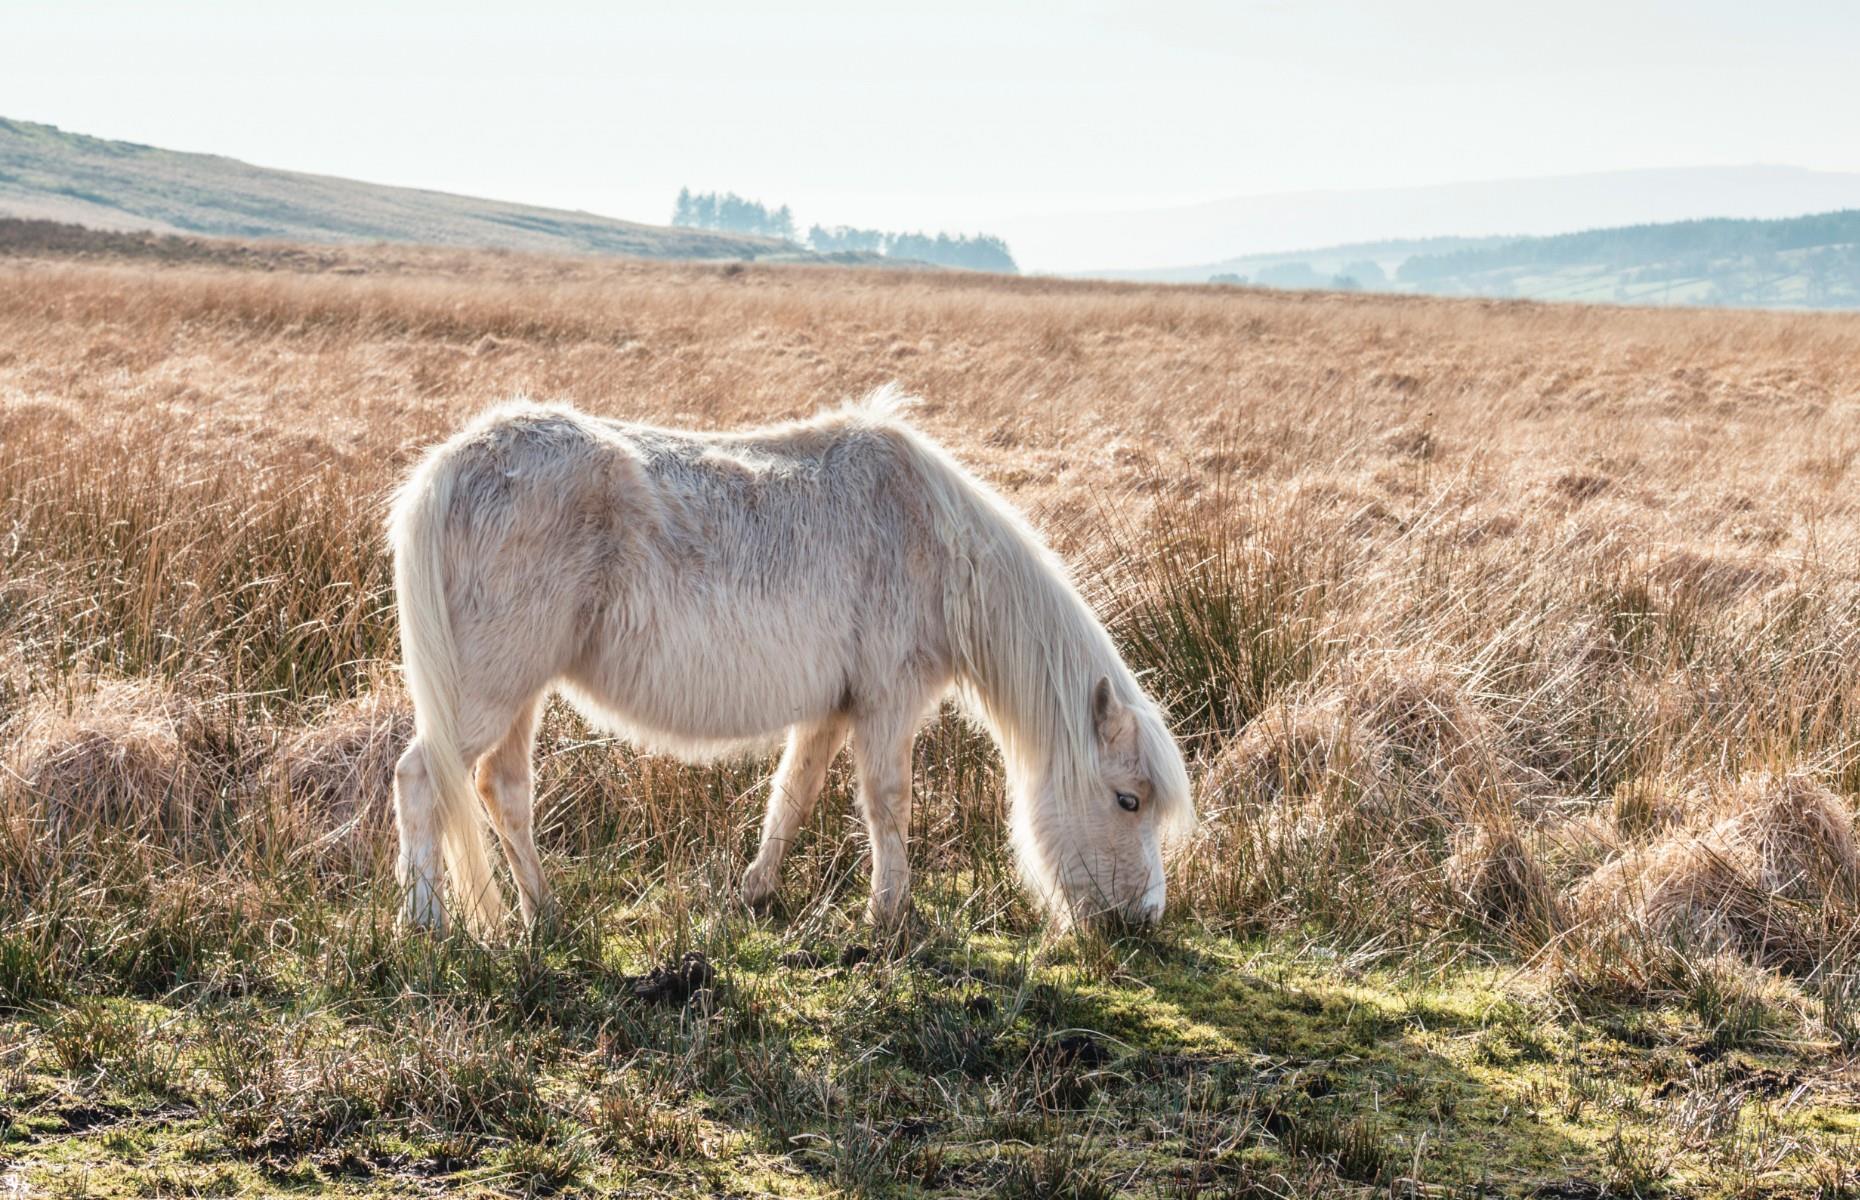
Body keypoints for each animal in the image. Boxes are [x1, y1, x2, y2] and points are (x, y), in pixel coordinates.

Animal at [388, 388, 1190, 930]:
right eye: (1128, 800)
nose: (1143, 919)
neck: (933, 540)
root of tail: (452, 465)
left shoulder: (831, 710)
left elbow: (792, 795)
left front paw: (757, 890)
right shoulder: (886, 701)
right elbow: (888, 801)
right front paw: (889, 914)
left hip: (522, 692)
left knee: (502, 790)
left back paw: (543, 912)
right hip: (491, 688)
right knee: (422, 778)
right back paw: (428, 924)